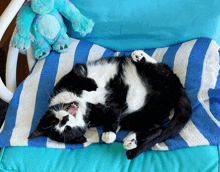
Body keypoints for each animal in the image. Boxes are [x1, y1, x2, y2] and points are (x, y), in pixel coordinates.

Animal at [28, 50, 191, 159]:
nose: (64, 119)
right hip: (143, 113)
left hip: (157, 77)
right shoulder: (107, 111)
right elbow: (113, 116)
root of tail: (176, 89)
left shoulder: (72, 75)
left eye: (54, 121)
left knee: (158, 69)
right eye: (67, 131)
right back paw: (132, 140)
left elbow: (78, 76)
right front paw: (108, 134)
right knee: (158, 128)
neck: (83, 103)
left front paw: (92, 84)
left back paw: (139, 56)